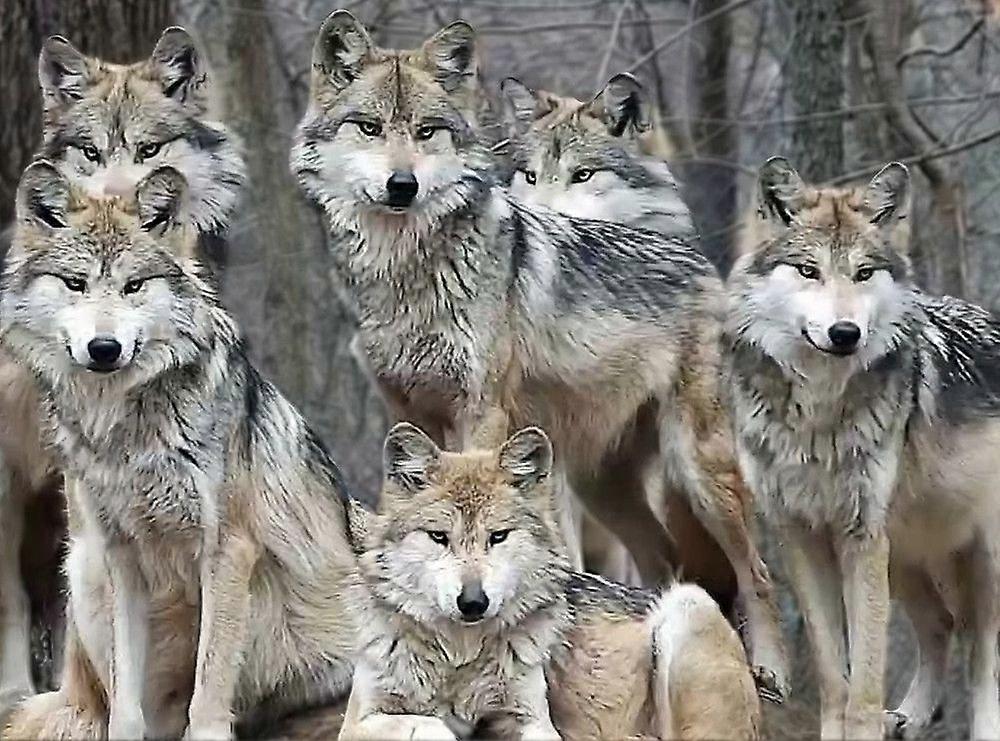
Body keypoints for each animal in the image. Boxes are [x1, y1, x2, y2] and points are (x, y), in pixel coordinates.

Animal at [1, 163, 355, 740]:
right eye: (76, 284)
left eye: (134, 286)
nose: (104, 348)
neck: (128, 434)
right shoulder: (120, 555)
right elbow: (126, 699)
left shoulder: (227, 550)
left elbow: (209, 685)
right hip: (83, 566)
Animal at [340, 422, 760, 740]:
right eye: (439, 537)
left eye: (498, 536)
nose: (473, 602)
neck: (460, 654)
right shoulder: (358, 721)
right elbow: (429, 725)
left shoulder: (534, 721)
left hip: (688, 604)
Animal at [725, 157, 1000, 740]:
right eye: (809, 271)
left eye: (864, 273)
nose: (845, 332)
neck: (818, 414)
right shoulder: (801, 535)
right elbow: (836, 676)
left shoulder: (862, 536)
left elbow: (866, 680)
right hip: (908, 555)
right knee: (942, 624)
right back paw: (910, 718)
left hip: (979, 556)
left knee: (984, 653)